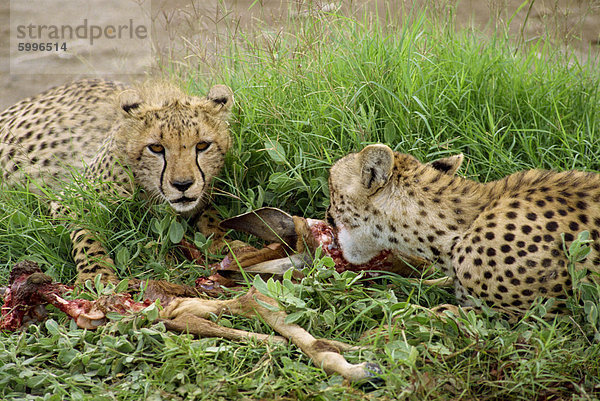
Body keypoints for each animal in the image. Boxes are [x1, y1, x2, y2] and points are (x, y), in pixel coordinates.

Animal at [0, 79, 234, 284]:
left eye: (202, 145)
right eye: (156, 147)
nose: (183, 185)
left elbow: (213, 214)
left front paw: (224, 242)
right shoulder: (70, 198)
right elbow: (86, 236)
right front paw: (97, 275)